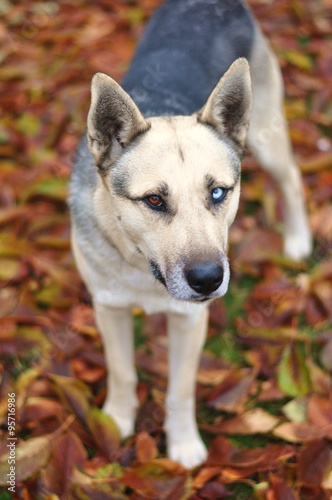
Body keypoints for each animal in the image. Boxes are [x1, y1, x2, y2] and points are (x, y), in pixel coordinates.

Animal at [69, 0, 312, 468]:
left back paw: (298, 239)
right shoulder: (109, 307)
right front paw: (115, 423)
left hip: (266, 135)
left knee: (290, 179)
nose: (208, 280)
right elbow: (122, 372)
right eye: (153, 200)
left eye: (218, 192)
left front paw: (182, 444)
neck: (142, 268)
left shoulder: (190, 320)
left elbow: (180, 390)